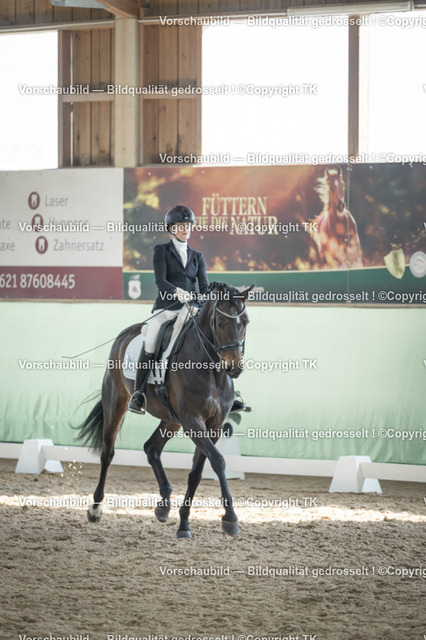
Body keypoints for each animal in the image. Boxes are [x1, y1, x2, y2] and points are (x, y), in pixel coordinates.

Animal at [76, 282, 253, 539]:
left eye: (245, 322)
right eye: (220, 323)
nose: (234, 368)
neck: (211, 369)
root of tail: (125, 334)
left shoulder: (214, 426)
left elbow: (197, 472)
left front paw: (184, 523)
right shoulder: (193, 422)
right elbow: (218, 461)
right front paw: (230, 519)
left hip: (171, 420)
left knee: (151, 448)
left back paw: (164, 505)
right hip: (116, 402)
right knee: (107, 453)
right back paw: (95, 509)